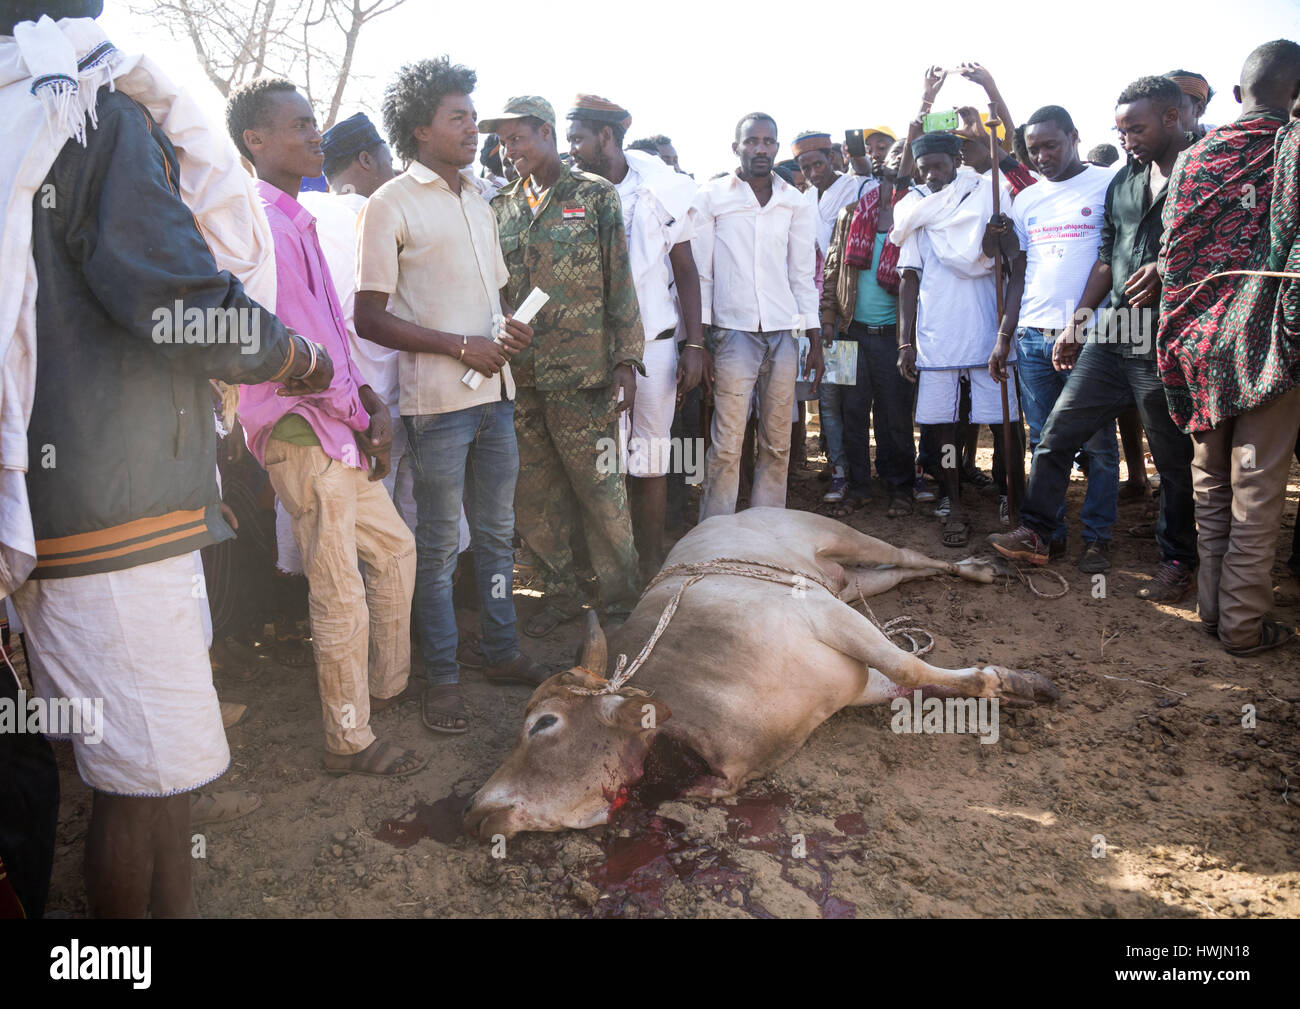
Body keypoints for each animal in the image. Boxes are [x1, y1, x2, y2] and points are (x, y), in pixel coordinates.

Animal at [467, 509, 1055, 837]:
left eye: (544, 724)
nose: (474, 811)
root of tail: (724, 513)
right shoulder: (851, 673)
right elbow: (912, 679)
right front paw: (1015, 684)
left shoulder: (824, 615)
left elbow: (908, 664)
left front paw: (1004, 681)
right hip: (849, 582)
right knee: (894, 572)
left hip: (841, 539)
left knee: (911, 554)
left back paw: (980, 568)